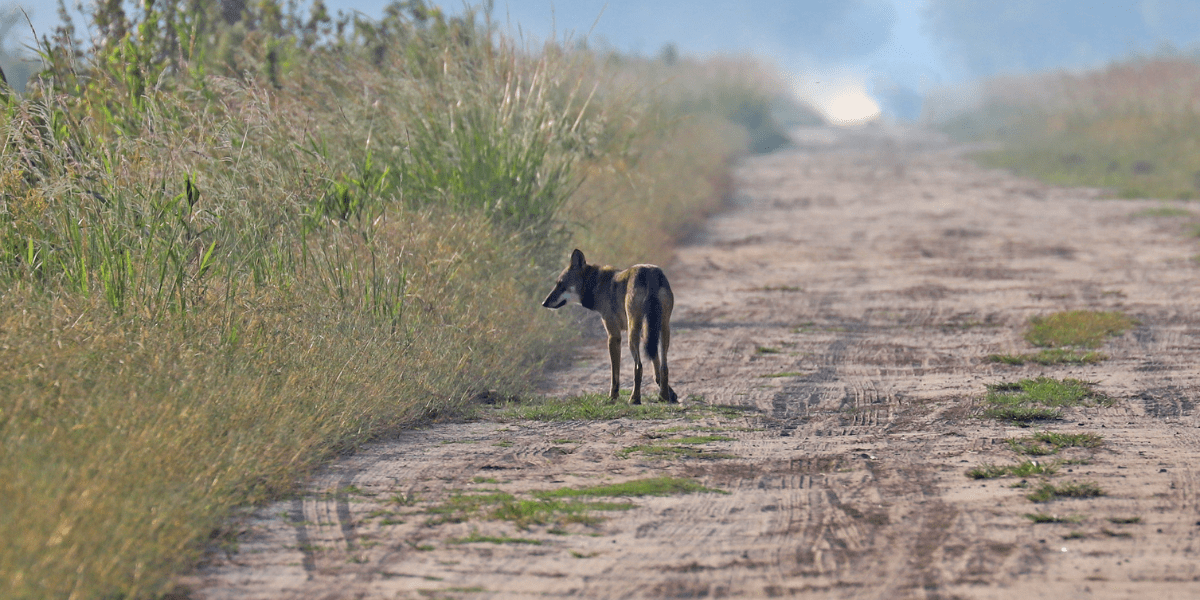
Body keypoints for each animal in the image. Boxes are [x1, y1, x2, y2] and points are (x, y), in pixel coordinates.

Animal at [541, 248, 679, 405]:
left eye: (561, 284)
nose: (544, 303)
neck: (597, 284)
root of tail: (649, 273)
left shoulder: (613, 336)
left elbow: (615, 374)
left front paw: (612, 397)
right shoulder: (647, 333)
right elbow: (657, 369)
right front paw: (670, 394)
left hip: (632, 335)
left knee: (639, 366)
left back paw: (635, 398)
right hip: (663, 330)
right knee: (664, 367)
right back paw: (663, 397)